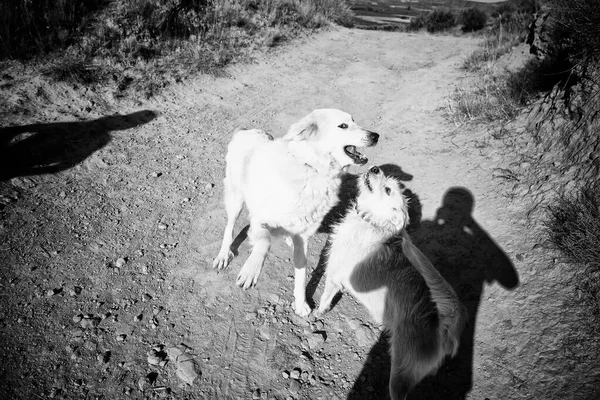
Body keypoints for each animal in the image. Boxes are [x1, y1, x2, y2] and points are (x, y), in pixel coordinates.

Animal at [213, 108, 378, 316]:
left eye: (354, 121)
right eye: (343, 125)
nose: (375, 136)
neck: (312, 168)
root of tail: (245, 131)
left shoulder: (303, 236)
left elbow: (301, 273)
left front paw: (301, 304)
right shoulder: (259, 220)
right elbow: (265, 241)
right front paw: (251, 270)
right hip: (236, 198)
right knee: (230, 227)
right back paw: (223, 254)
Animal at [316, 166, 466, 400]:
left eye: (387, 190)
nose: (375, 167)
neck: (373, 222)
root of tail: (448, 324)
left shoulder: (333, 275)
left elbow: (325, 297)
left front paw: (317, 313)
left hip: (400, 372)